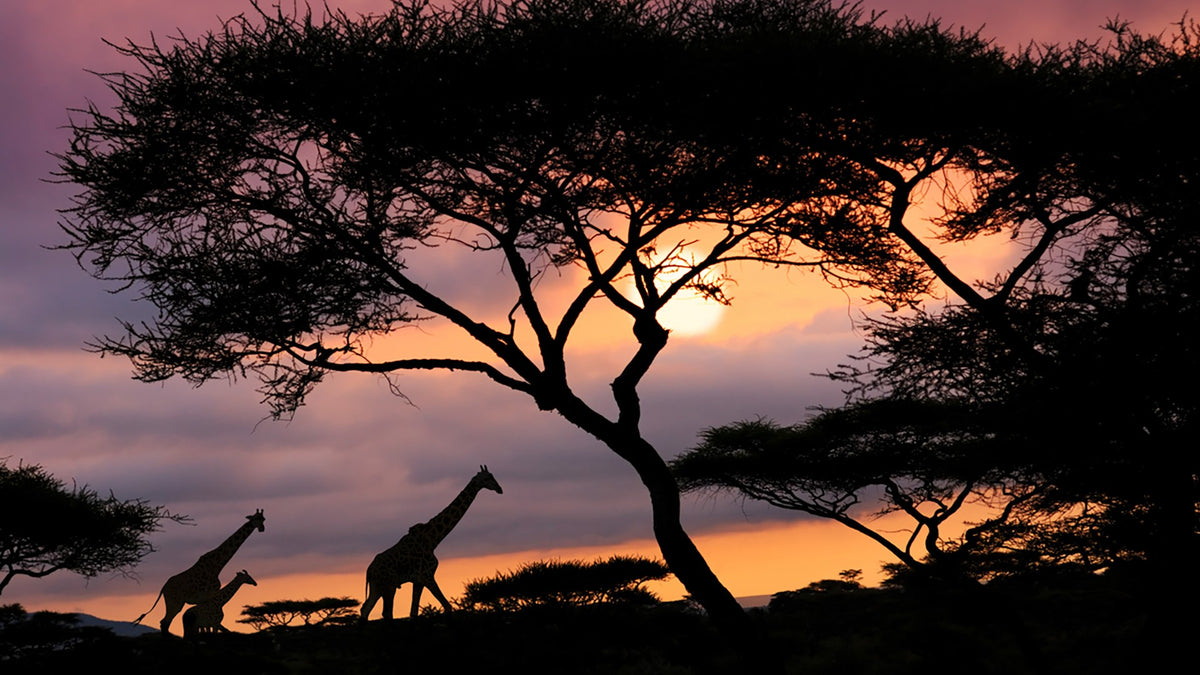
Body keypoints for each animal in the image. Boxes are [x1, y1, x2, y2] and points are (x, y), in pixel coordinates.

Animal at [134, 509, 265, 635]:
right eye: (257, 519)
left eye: (263, 518)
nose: (262, 529)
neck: (217, 566)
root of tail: (163, 588)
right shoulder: (210, 594)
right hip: (175, 603)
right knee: (165, 622)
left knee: (165, 622)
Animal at [361, 466, 502, 621]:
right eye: (487, 478)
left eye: (492, 476)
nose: (499, 489)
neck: (433, 540)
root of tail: (369, 570)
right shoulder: (427, 576)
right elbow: (447, 606)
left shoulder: (418, 580)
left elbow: (414, 612)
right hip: (389, 586)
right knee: (385, 612)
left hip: (377, 587)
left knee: (365, 610)